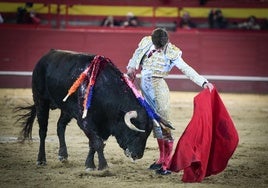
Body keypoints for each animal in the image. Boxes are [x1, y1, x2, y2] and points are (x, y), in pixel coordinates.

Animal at [17, 49, 153, 170]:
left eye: (147, 134)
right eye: (136, 133)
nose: (138, 155)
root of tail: (46, 56)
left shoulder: (102, 125)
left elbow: (93, 143)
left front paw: (89, 164)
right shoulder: (84, 121)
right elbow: (97, 142)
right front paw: (103, 166)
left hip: (67, 109)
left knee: (60, 126)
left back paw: (63, 155)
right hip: (40, 100)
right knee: (43, 131)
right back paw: (41, 160)